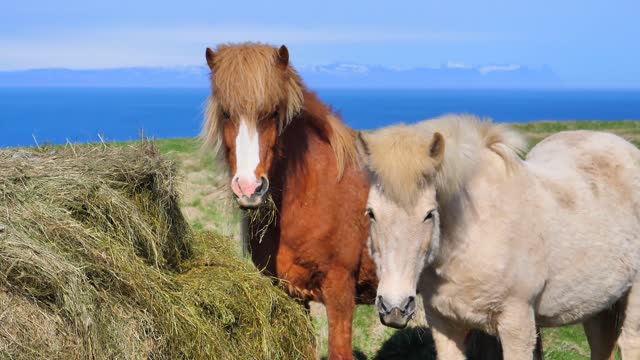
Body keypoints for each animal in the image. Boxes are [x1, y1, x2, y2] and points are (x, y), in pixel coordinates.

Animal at [358, 116, 640, 360]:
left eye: (429, 214)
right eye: (371, 213)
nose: (394, 308)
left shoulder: (517, 324)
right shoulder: (445, 324)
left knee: (629, 343)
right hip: (598, 306)